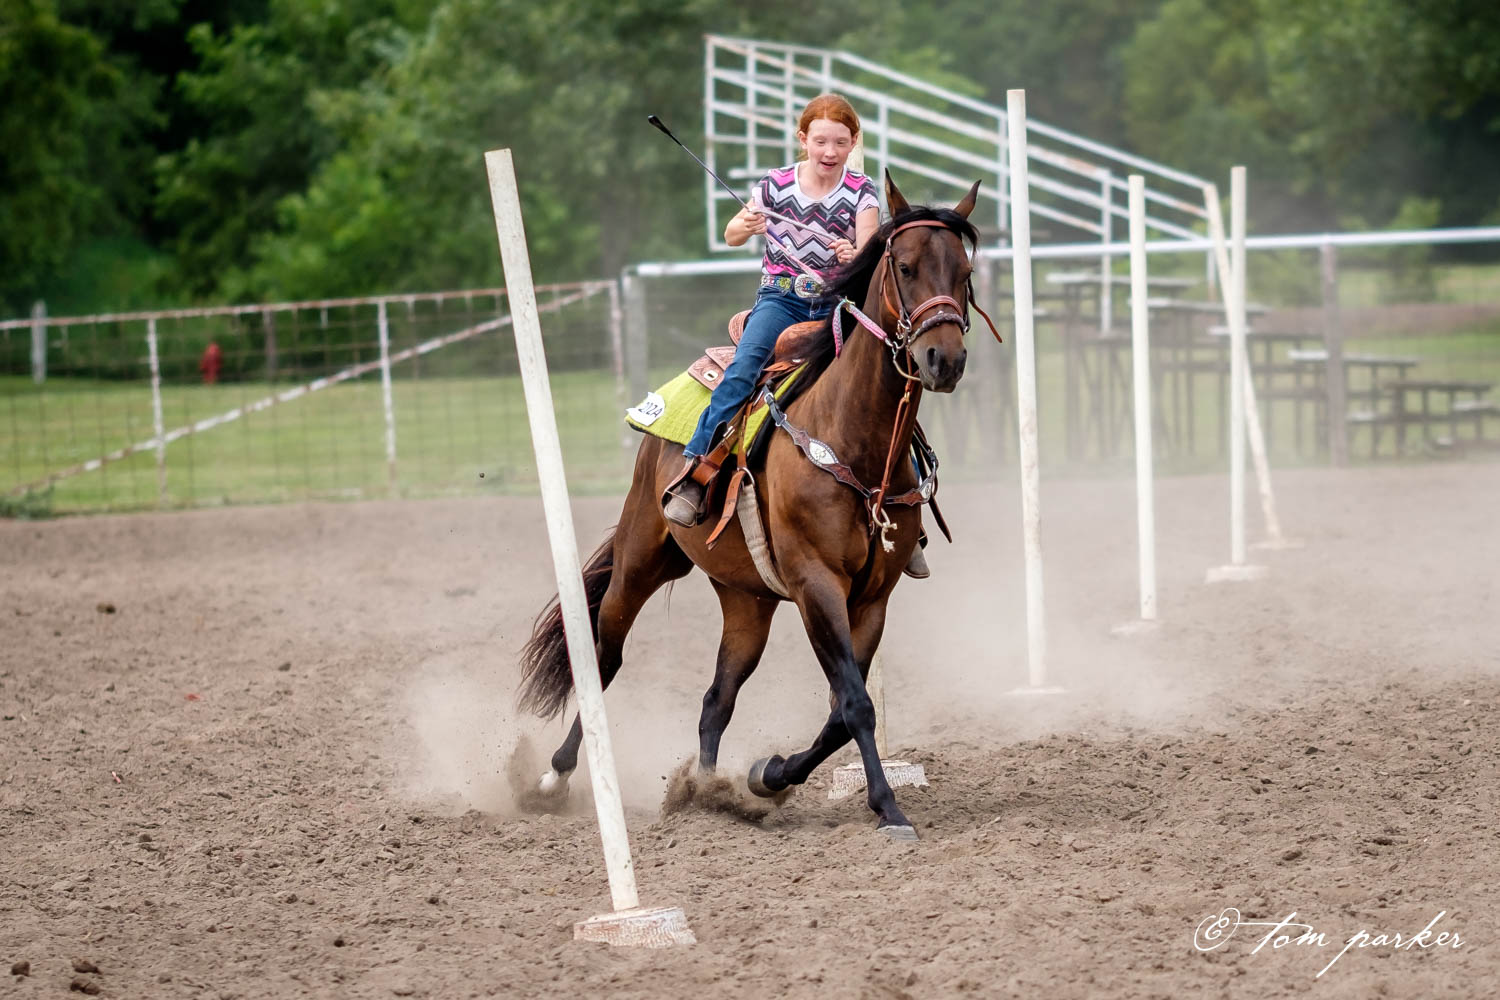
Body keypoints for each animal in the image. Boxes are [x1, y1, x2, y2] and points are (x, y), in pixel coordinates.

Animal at [516, 172, 988, 840]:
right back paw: (555, 777)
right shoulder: (817, 584)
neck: (854, 437)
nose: (943, 360)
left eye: (964, 271)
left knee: (719, 696)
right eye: (905, 265)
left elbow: (840, 710)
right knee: (605, 657)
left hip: (747, 600)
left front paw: (771, 775)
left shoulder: (872, 597)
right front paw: (887, 807)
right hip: (640, 561)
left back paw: (707, 788)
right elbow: (855, 702)